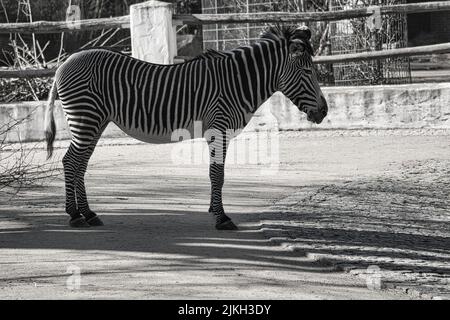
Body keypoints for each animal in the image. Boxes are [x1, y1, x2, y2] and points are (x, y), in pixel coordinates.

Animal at [44, 25, 328, 230]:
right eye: (307, 71)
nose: (324, 112)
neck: (236, 82)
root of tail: (63, 64)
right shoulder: (218, 128)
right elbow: (217, 174)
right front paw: (222, 218)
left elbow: (216, 174)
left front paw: (214, 210)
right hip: (86, 117)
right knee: (71, 161)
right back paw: (75, 215)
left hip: (96, 121)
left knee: (80, 163)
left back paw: (89, 213)